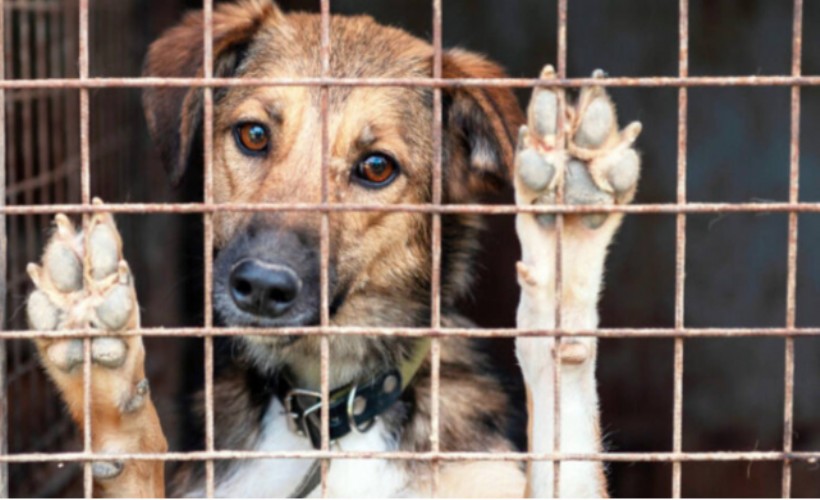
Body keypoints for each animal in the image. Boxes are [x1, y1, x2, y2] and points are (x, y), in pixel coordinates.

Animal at [25, 0, 644, 496]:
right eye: (253, 134)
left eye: (376, 167)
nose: (262, 286)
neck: (330, 418)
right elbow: (131, 454)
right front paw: (101, 369)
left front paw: (564, 234)